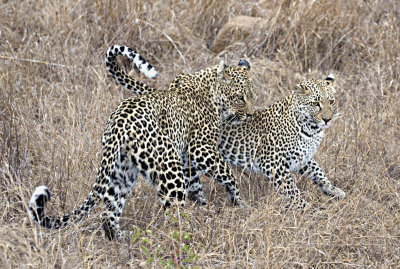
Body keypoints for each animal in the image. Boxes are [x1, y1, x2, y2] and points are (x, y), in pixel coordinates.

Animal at [28, 44, 255, 239]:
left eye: (252, 96)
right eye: (240, 97)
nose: (251, 115)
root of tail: (119, 123)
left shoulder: (186, 159)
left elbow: (196, 186)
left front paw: (203, 204)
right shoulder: (200, 149)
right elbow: (228, 175)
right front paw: (239, 202)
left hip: (122, 172)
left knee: (109, 213)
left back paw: (121, 241)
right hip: (168, 165)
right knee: (174, 213)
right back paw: (190, 233)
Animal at [184, 74, 344, 208]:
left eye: (331, 101)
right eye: (316, 103)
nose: (327, 119)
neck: (311, 129)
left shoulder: (301, 157)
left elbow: (318, 171)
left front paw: (333, 190)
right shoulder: (273, 163)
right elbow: (291, 189)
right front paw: (305, 207)